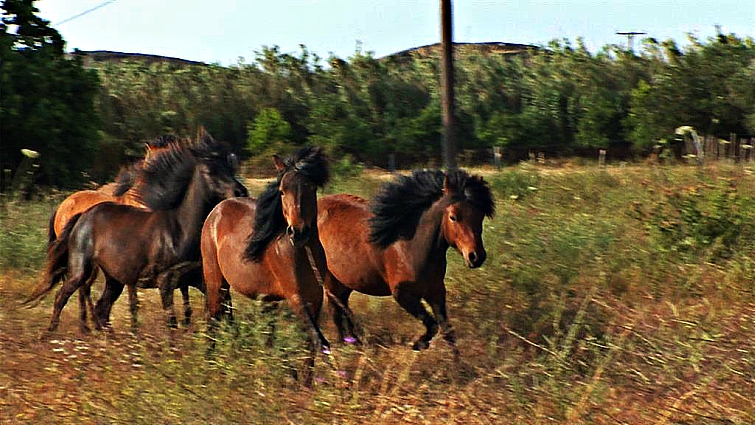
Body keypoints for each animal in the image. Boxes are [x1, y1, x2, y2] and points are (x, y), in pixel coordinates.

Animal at [25, 131, 248, 332]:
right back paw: (73, 329)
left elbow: (211, 303)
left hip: (106, 274)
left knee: (93, 299)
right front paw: (137, 329)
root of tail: (71, 209)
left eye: (230, 167)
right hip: (86, 267)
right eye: (210, 171)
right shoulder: (152, 276)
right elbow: (153, 310)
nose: (241, 191)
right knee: (74, 292)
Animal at [201, 146, 331, 386]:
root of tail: (217, 210)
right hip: (216, 281)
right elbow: (320, 341)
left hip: (265, 299)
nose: (298, 232)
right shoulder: (296, 297)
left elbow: (310, 343)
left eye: (311, 188)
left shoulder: (315, 299)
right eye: (282, 191)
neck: (302, 252)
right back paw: (209, 366)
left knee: (264, 335)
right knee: (213, 317)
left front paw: (306, 382)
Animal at [317, 169, 495, 353]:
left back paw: (355, 342)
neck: (411, 247)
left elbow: (448, 331)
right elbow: (432, 325)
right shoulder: (402, 294)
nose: (476, 256)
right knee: (335, 311)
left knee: (343, 307)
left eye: (480, 216)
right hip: (329, 279)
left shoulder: (436, 292)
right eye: (453, 217)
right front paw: (418, 344)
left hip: (344, 282)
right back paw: (342, 346)